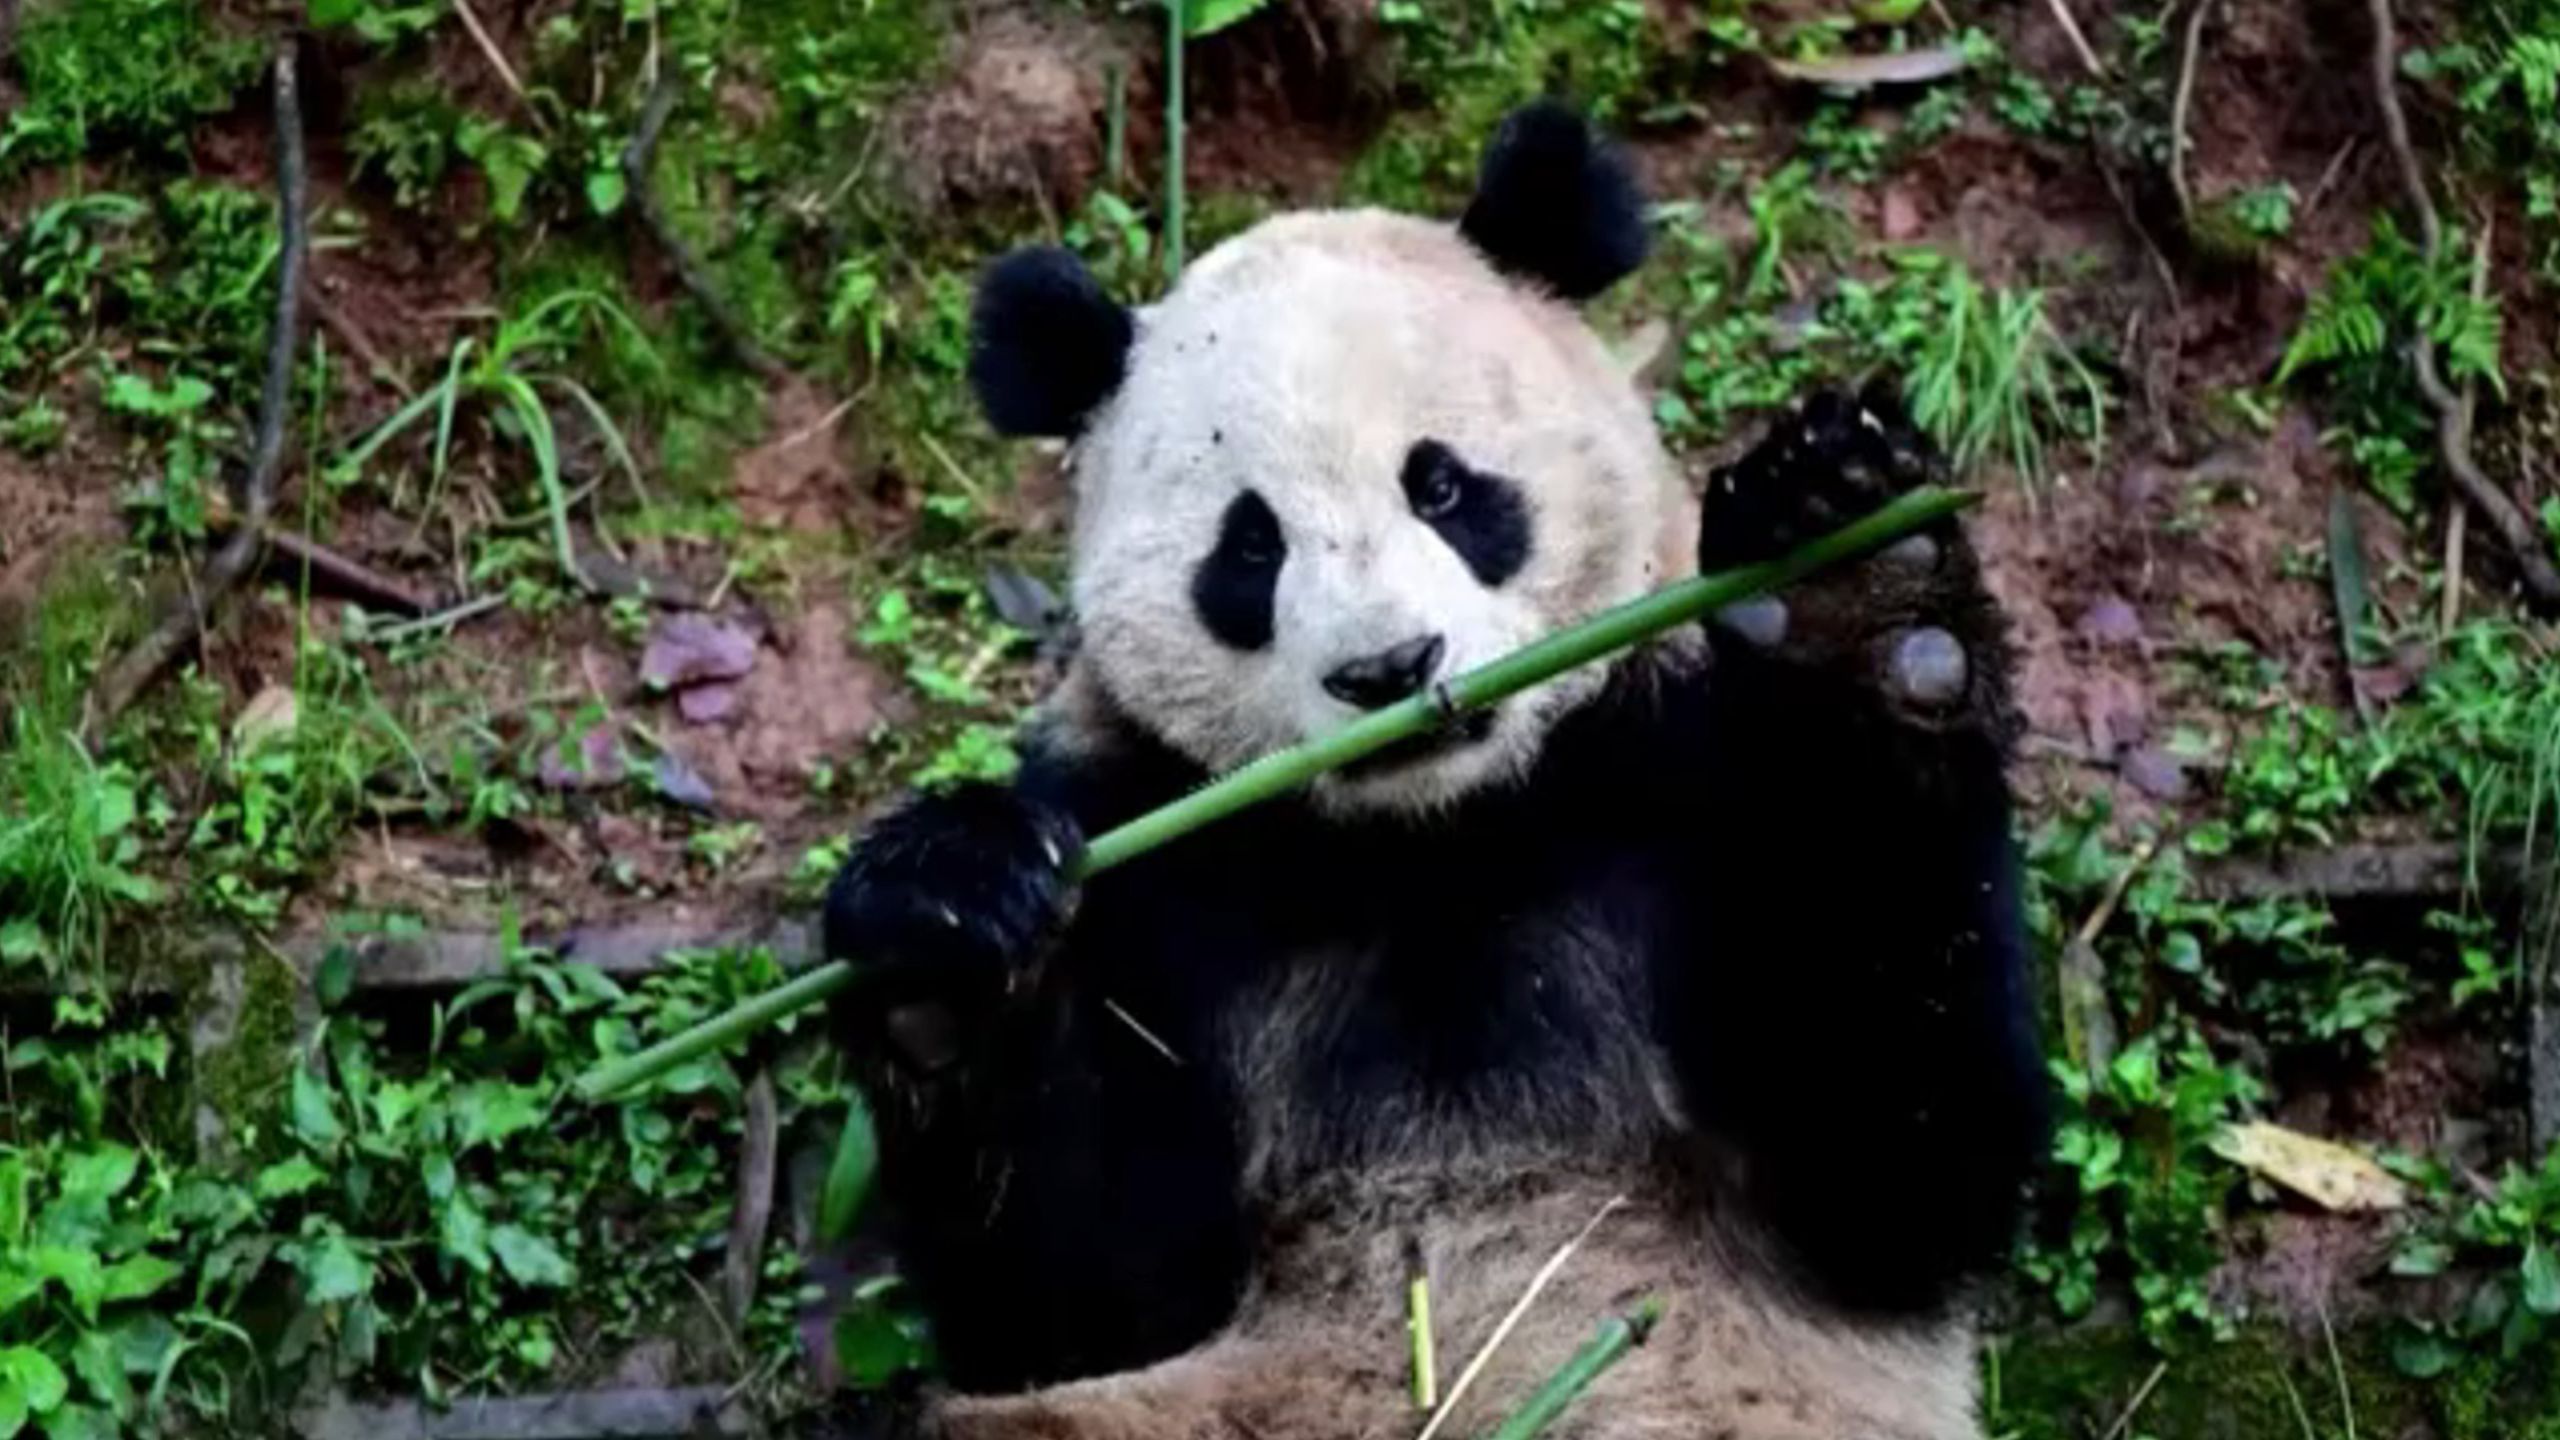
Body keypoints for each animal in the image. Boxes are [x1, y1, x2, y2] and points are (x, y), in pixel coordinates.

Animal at [829, 101, 2048, 1434]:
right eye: (1249, 548)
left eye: (1446, 485)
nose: (1387, 669)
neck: (1440, 839)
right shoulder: (1159, 866)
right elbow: (1078, 1298)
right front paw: (941, 933)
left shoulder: (1675, 768)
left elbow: (1894, 1166)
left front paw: (1855, 587)